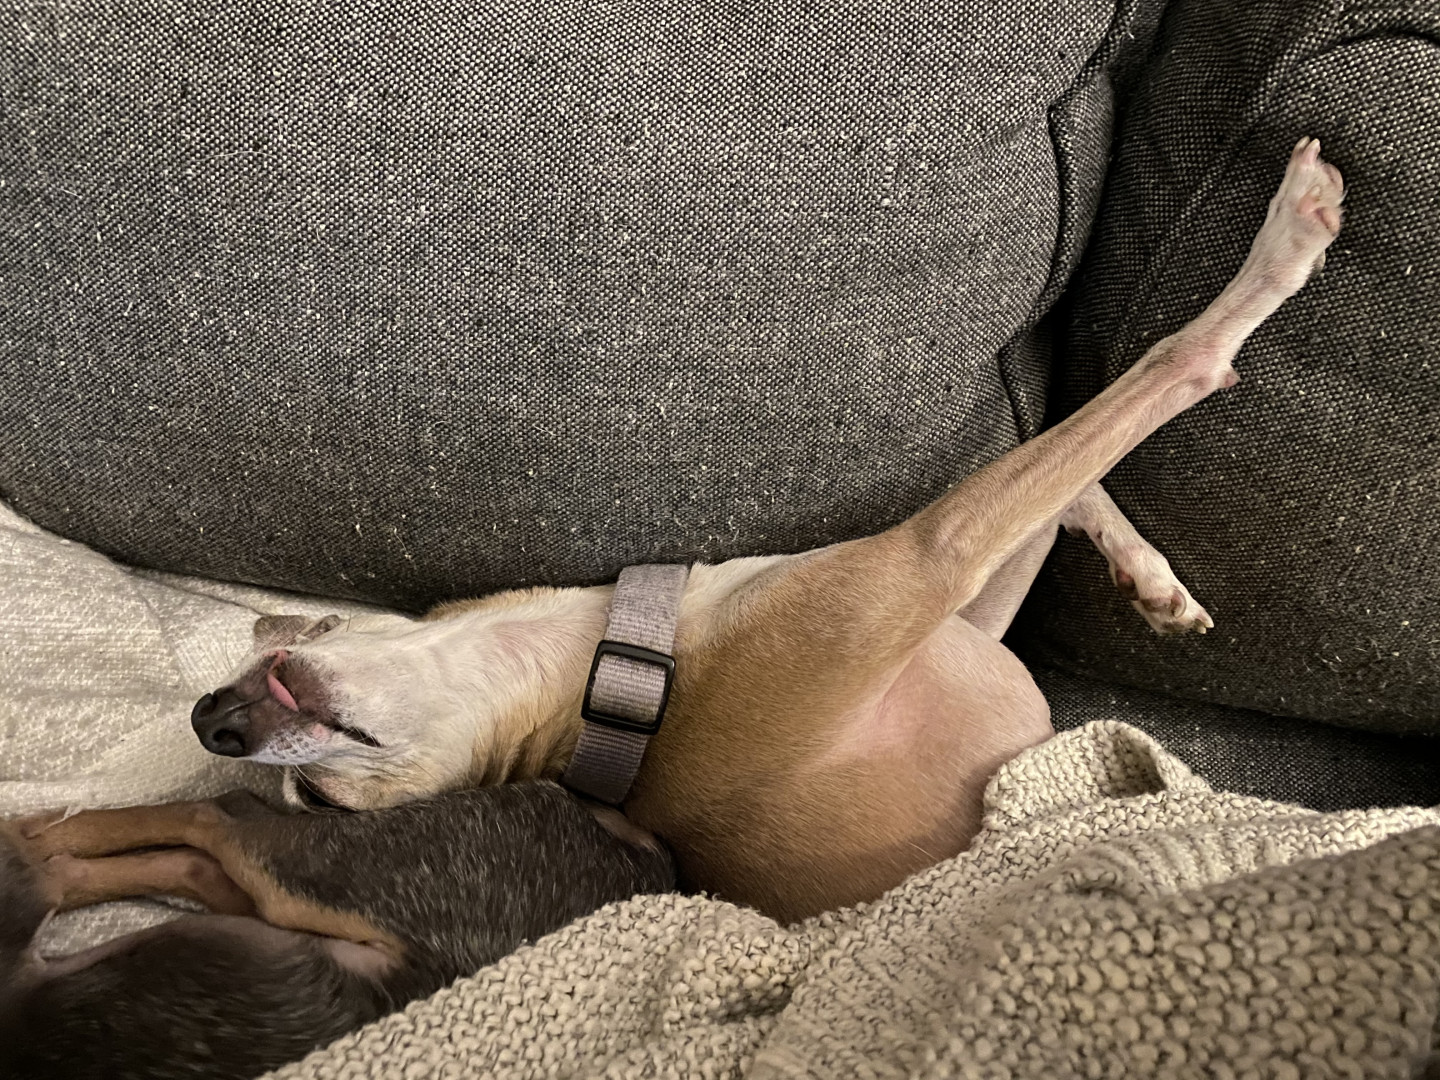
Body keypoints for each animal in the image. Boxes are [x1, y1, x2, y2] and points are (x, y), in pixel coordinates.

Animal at [0, 784, 673, 1079]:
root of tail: (648, 861)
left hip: (317, 866)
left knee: (209, 814)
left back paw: (47, 834)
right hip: (296, 891)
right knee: (199, 845)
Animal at [188, 139, 1345, 924]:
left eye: (315, 632)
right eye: (316, 801)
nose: (212, 721)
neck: (630, 669)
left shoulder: (959, 620)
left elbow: (1065, 463)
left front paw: (1152, 581)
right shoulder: (918, 565)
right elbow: (1149, 379)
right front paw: (1287, 239)